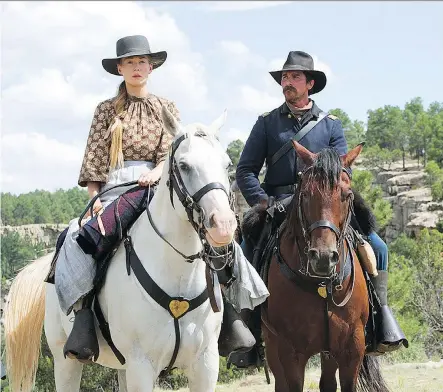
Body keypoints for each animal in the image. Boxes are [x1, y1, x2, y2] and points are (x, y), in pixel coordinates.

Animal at [4, 105, 239, 390]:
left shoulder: (205, 364)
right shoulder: (142, 366)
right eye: (184, 165)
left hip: (123, 367)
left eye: (227, 164)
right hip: (65, 360)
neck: (179, 277)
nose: (223, 225)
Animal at [262, 142, 390, 392]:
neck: (320, 284)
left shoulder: (352, 348)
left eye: (347, 195)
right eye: (305, 194)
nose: (323, 258)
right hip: (272, 345)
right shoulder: (291, 352)